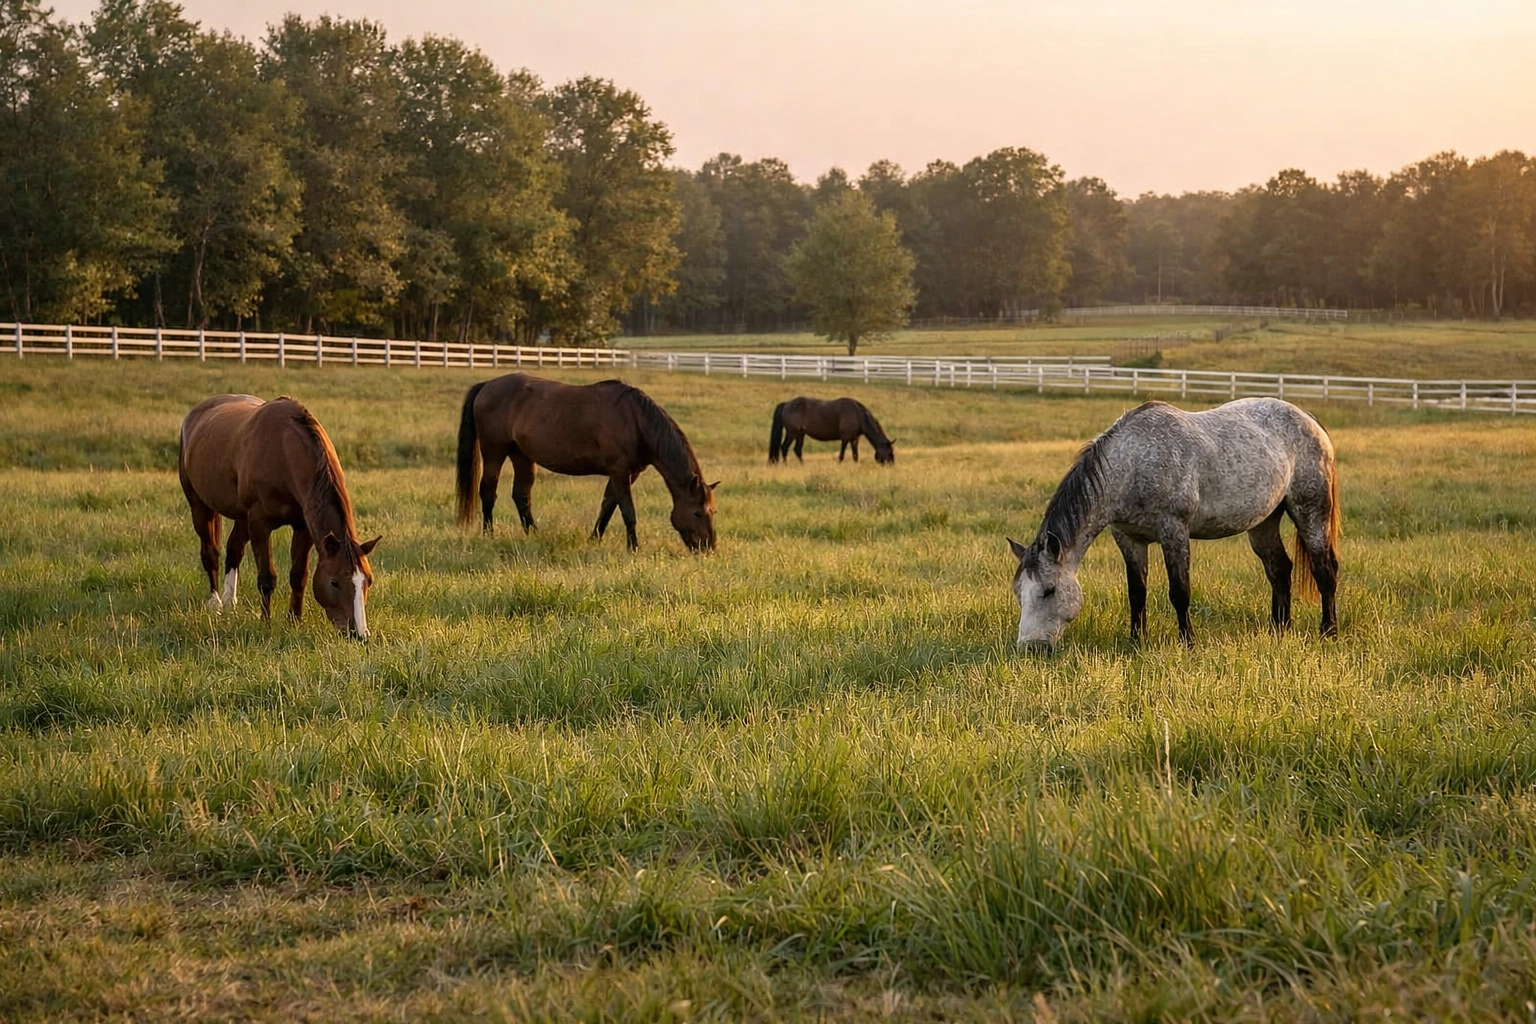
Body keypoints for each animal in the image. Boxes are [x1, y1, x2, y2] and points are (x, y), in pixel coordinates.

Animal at [178, 395, 381, 639]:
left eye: (368, 580)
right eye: (334, 582)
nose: (359, 634)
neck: (283, 452)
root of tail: (195, 414)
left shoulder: (303, 527)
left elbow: (298, 575)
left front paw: (294, 620)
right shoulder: (260, 524)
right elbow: (267, 578)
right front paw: (265, 624)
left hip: (242, 517)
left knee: (234, 550)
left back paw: (230, 603)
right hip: (200, 506)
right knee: (210, 553)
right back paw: (215, 603)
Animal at [456, 373, 717, 552]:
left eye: (712, 511)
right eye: (696, 513)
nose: (709, 547)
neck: (635, 419)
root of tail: (487, 385)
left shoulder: (627, 473)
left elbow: (608, 506)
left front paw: (594, 538)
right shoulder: (620, 471)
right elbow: (627, 510)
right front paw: (633, 548)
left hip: (521, 455)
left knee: (521, 495)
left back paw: (534, 535)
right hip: (494, 452)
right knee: (488, 491)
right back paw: (488, 534)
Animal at [1008, 397, 1340, 649]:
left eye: (1049, 590)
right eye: (1018, 592)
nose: (1030, 648)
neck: (1133, 464)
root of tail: (1309, 419)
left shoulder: (1174, 533)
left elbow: (1180, 592)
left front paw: (1188, 642)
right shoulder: (1129, 539)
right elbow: (1137, 594)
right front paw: (1136, 642)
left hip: (1311, 511)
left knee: (1324, 571)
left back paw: (1328, 631)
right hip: (1264, 522)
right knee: (1279, 569)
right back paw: (1279, 630)